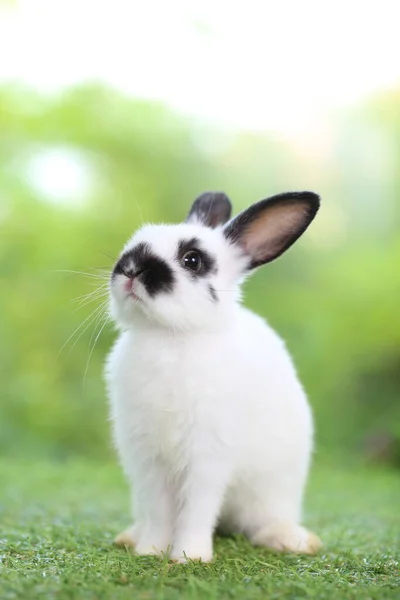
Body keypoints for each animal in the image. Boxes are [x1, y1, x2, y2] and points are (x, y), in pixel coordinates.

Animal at [105, 191, 322, 564]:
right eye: (135, 242)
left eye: (192, 260)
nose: (130, 270)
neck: (169, 335)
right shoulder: (148, 459)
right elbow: (159, 512)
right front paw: (151, 552)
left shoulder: (207, 455)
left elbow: (197, 509)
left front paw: (189, 557)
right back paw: (130, 537)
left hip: (270, 494)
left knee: (263, 522)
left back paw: (291, 541)